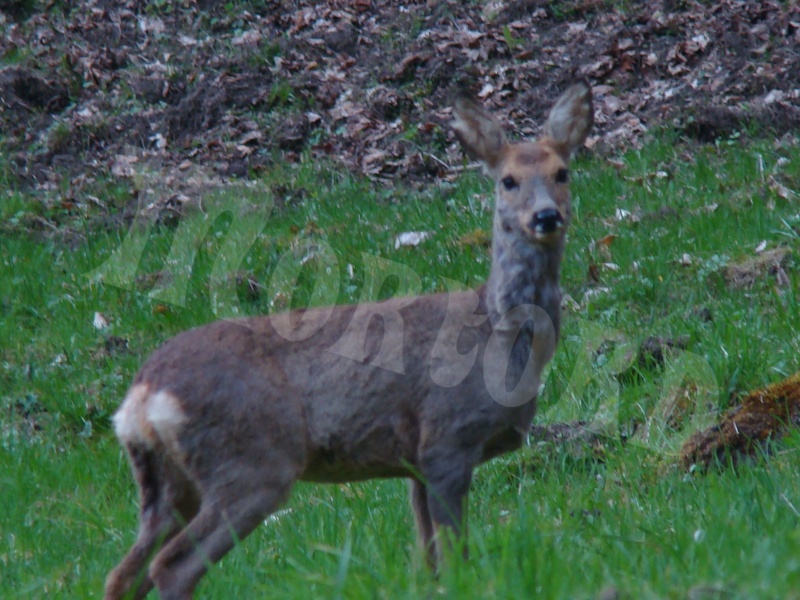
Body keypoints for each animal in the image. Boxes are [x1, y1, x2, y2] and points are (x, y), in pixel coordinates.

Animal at [104, 81, 592, 600]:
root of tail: (142, 395)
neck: (502, 337)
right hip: (250, 461)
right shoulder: (446, 440)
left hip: (169, 482)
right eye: (508, 180)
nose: (546, 216)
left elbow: (427, 559)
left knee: (124, 572)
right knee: (172, 566)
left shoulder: (415, 464)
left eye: (562, 172)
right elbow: (451, 557)